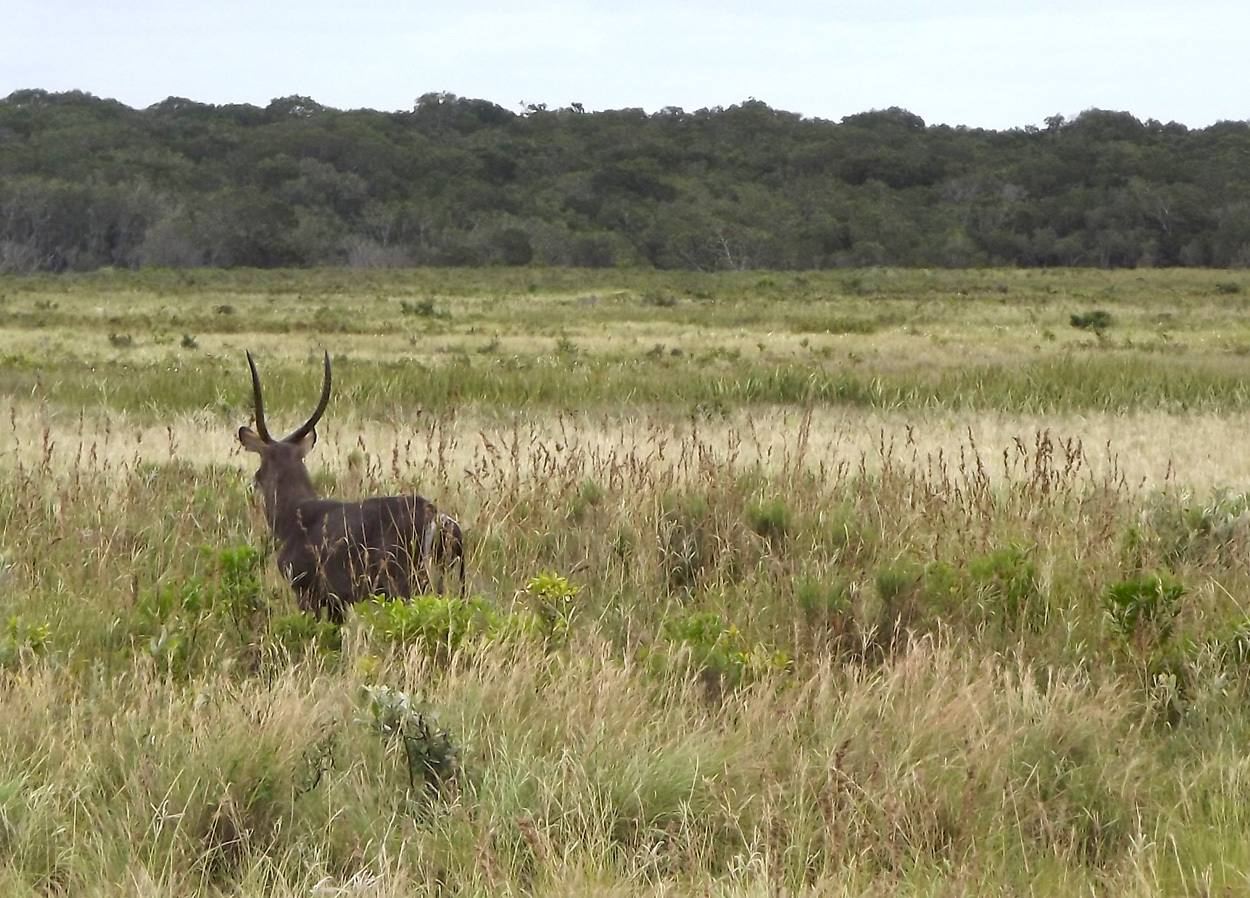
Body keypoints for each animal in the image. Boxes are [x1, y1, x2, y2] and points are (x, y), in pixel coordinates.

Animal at [237, 352, 465, 625]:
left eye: (261, 466)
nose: (255, 480)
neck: (296, 515)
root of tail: (437, 517)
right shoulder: (338, 603)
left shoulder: (307, 594)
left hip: (409, 586)